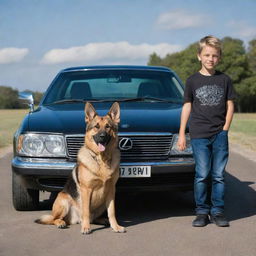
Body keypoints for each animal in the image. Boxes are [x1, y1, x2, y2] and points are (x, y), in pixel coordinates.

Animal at [35, 101, 125, 234]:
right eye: (96, 127)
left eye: (108, 126)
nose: (102, 136)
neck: (101, 160)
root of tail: (75, 219)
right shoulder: (86, 190)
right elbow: (86, 211)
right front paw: (86, 228)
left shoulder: (111, 190)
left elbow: (112, 212)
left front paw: (115, 226)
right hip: (64, 201)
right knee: (54, 219)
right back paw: (62, 223)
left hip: (101, 204)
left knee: (93, 217)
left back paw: (101, 220)